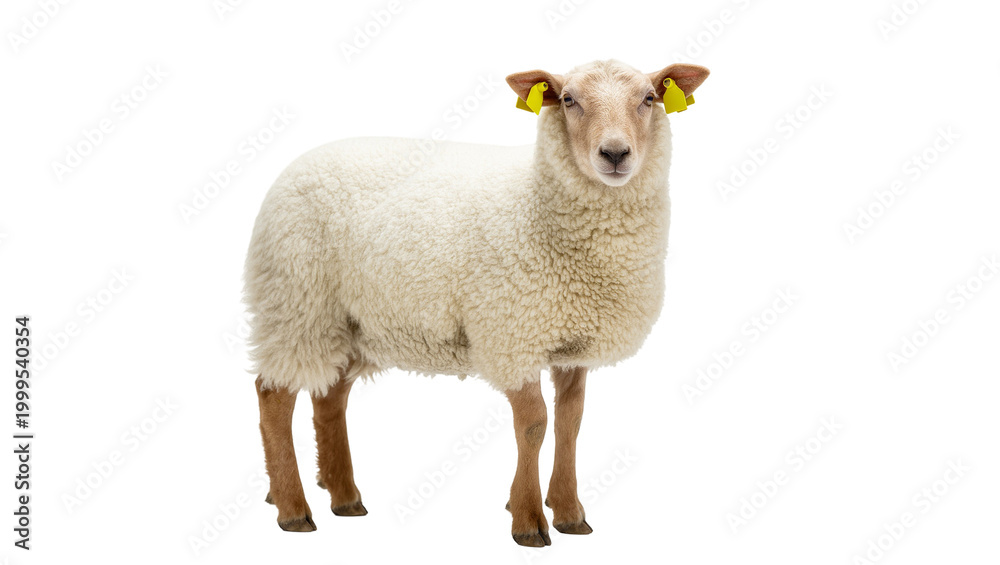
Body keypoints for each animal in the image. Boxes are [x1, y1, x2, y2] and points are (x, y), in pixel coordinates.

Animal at [244, 59, 710, 546]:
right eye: (568, 100)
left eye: (649, 99)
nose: (615, 154)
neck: (538, 205)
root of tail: (296, 164)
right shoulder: (511, 335)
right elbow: (534, 425)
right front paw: (528, 519)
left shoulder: (572, 343)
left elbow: (571, 422)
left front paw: (568, 512)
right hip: (296, 303)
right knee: (273, 396)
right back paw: (293, 508)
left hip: (353, 322)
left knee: (331, 398)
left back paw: (344, 497)